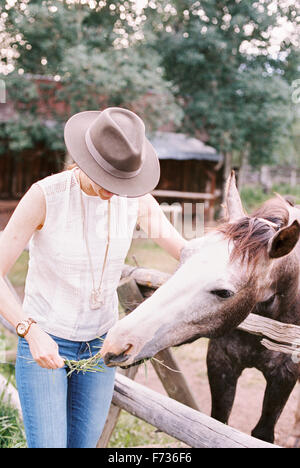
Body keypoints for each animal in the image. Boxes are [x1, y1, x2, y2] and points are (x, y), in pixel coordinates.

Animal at [102, 172, 300, 442]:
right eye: (184, 253)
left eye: (224, 292)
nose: (118, 343)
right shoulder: (220, 364)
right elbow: (218, 422)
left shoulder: (283, 377)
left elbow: (262, 433)